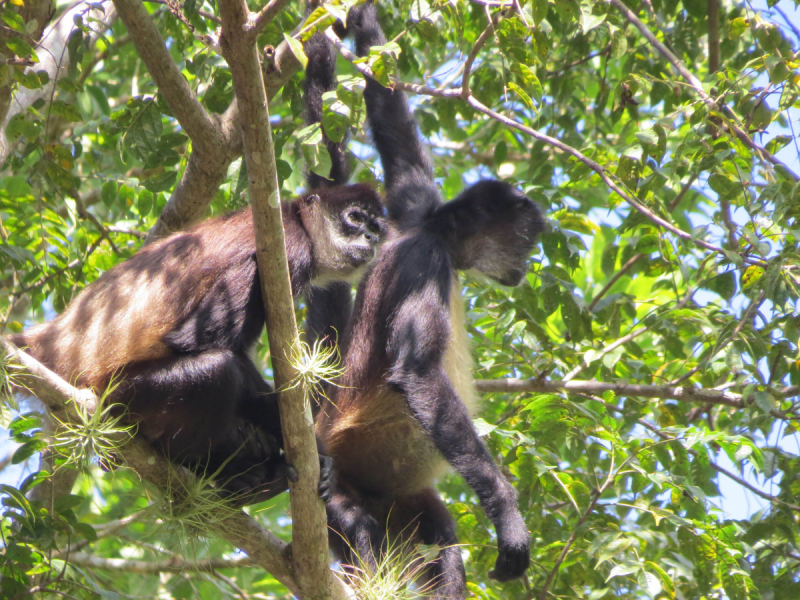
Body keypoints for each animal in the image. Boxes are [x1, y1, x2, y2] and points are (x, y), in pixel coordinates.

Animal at [10, 42, 386, 502]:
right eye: (355, 219)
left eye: (375, 229)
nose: (369, 241)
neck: (291, 217)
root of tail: (55, 342)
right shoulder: (286, 250)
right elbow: (201, 344)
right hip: (122, 397)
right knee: (218, 370)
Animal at [310, 3, 548, 596]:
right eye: (527, 239)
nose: (527, 266)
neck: (436, 232)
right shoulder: (425, 260)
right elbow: (417, 371)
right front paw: (508, 516)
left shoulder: (412, 206)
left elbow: (392, 118)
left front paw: (359, 19)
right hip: (338, 483)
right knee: (358, 525)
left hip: (407, 501)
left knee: (443, 542)